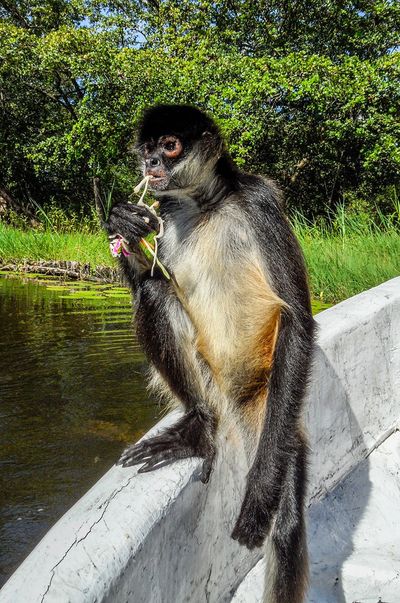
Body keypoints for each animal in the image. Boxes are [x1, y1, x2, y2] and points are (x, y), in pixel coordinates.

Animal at [103, 105, 316, 603]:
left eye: (170, 146)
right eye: (147, 148)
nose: (150, 165)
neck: (205, 204)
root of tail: (230, 401)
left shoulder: (260, 201)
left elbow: (297, 321)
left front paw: (259, 493)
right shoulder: (165, 209)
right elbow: (148, 275)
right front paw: (122, 220)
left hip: (272, 409)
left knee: (285, 528)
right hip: (206, 377)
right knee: (154, 291)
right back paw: (198, 428)